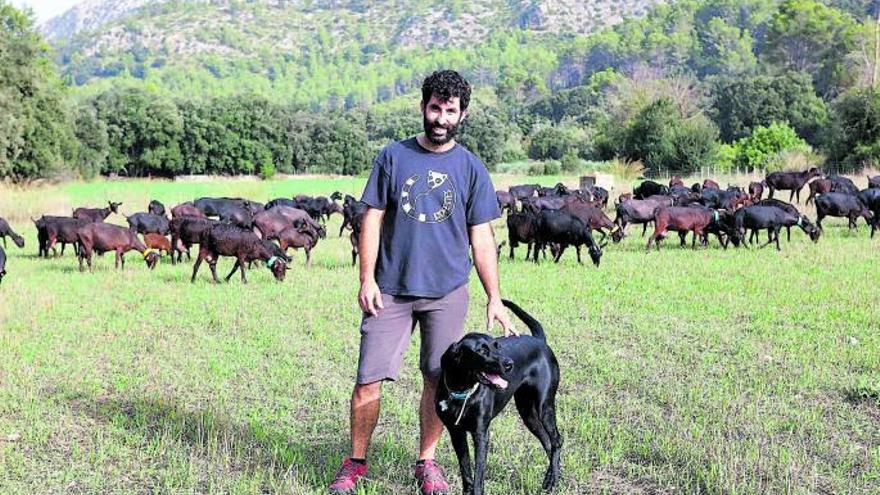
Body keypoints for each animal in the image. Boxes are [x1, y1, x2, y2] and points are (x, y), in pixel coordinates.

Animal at [436, 300, 560, 494]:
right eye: (481, 350)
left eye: (497, 346)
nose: (509, 364)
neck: (463, 391)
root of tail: (540, 340)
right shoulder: (456, 432)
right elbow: (466, 472)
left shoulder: (481, 434)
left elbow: (478, 477)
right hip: (528, 413)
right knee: (548, 442)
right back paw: (553, 477)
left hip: (544, 407)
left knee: (556, 441)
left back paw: (552, 479)